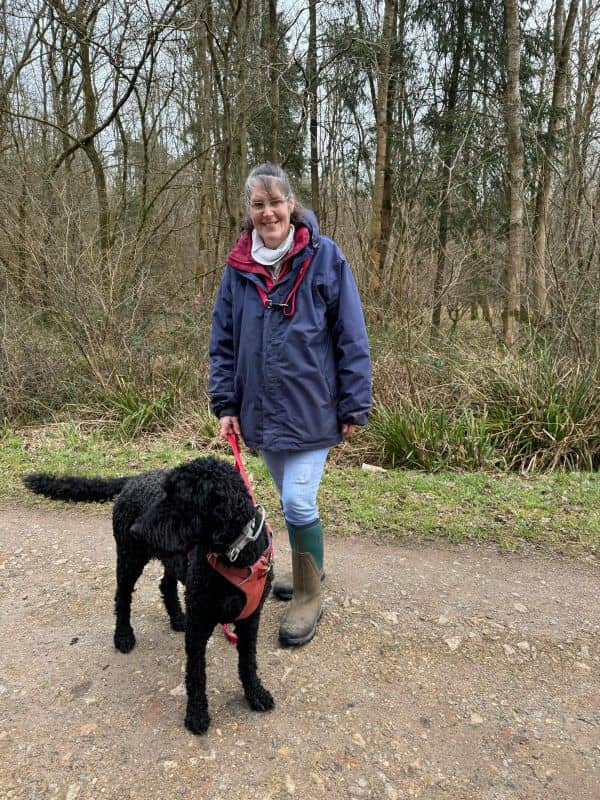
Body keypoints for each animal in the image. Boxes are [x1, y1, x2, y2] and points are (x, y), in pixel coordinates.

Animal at [22, 460, 276, 736]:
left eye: (180, 500)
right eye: (165, 494)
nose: (136, 530)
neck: (235, 557)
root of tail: (134, 478)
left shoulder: (250, 619)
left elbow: (248, 661)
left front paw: (255, 693)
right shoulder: (199, 624)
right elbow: (196, 674)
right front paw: (197, 713)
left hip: (170, 557)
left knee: (165, 585)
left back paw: (177, 618)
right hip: (129, 559)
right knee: (122, 598)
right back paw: (123, 636)